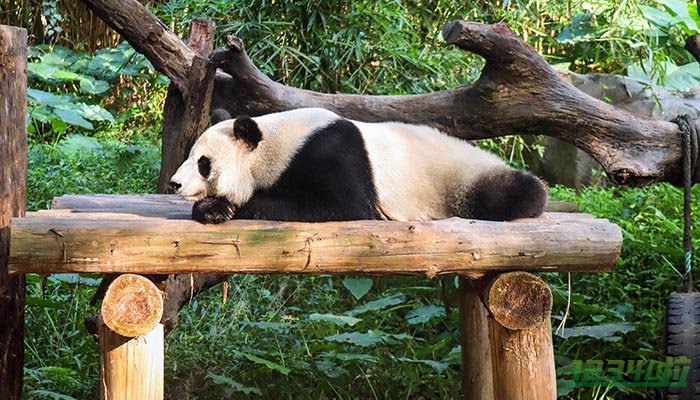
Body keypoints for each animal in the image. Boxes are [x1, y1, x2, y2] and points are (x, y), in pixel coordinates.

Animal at [168, 108, 548, 223]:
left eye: (203, 163)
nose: (174, 184)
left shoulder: (331, 152)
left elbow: (343, 205)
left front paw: (221, 207)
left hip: (458, 178)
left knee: (514, 192)